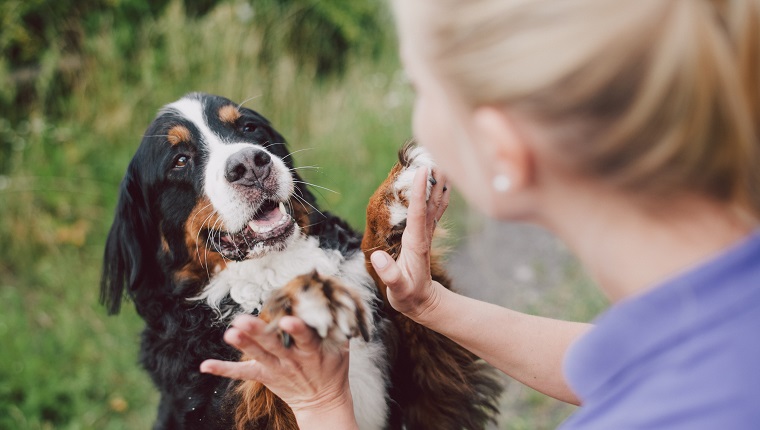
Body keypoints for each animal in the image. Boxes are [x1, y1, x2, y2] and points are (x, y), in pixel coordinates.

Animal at [101, 92, 504, 428]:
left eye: (247, 128)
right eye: (180, 160)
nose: (250, 163)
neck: (275, 267)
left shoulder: (429, 394)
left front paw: (393, 199)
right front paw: (302, 299)